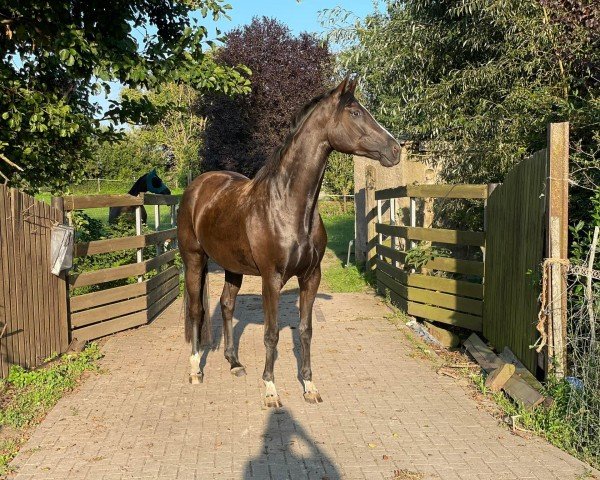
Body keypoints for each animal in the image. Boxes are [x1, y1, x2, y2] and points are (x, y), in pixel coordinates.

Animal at [178, 77, 404, 406]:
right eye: (355, 112)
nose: (395, 149)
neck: (287, 205)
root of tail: (197, 187)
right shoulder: (271, 279)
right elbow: (271, 333)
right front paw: (271, 389)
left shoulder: (311, 276)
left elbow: (306, 330)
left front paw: (309, 386)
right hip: (194, 259)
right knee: (197, 310)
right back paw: (195, 369)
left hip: (233, 267)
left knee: (226, 306)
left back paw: (234, 363)